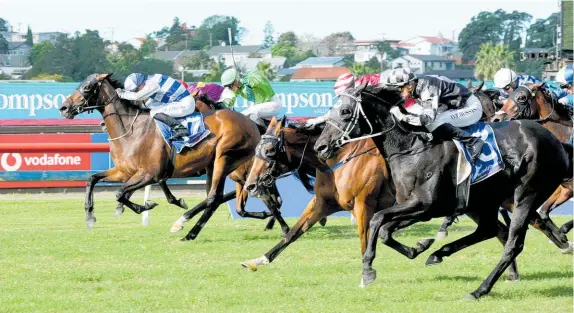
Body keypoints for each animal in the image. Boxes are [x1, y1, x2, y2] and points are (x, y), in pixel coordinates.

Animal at [59, 73, 288, 239]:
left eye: (87, 87)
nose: (64, 107)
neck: (131, 131)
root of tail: (254, 125)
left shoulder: (149, 174)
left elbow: (121, 193)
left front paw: (146, 205)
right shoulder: (124, 171)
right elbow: (93, 179)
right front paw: (90, 216)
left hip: (225, 159)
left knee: (217, 198)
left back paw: (186, 227)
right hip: (216, 167)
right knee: (222, 198)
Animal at [318, 84, 572, 298]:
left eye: (345, 111)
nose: (320, 146)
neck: (412, 148)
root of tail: (557, 142)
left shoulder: (426, 205)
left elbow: (378, 219)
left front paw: (368, 270)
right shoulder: (416, 208)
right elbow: (385, 230)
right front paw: (419, 247)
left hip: (526, 196)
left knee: (512, 244)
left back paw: (479, 290)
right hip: (484, 201)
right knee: (489, 229)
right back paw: (439, 254)